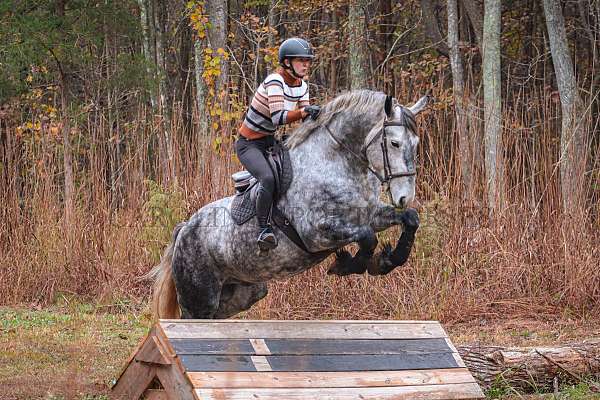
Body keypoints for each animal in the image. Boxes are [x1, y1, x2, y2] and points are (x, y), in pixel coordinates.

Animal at [150, 90, 432, 318]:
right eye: (394, 143)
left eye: (416, 144)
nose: (405, 196)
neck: (337, 163)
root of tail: (185, 229)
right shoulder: (315, 233)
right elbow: (367, 238)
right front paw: (349, 264)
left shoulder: (370, 215)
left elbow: (410, 219)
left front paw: (388, 260)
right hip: (199, 299)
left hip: (242, 293)